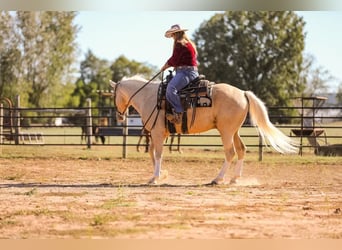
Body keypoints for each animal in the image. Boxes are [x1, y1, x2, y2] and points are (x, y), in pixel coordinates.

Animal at [109, 75, 296, 185]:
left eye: (113, 95)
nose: (119, 116)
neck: (149, 96)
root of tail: (243, 93)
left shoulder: (157, 133)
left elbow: (157, 154)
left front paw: (155, 178)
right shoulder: (158, 134)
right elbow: (152, 153)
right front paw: (161, 175)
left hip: (226, 132)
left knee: (230, 152)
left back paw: (217, 179)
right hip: (234, 131)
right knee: (241, 149)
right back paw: (235, 178)